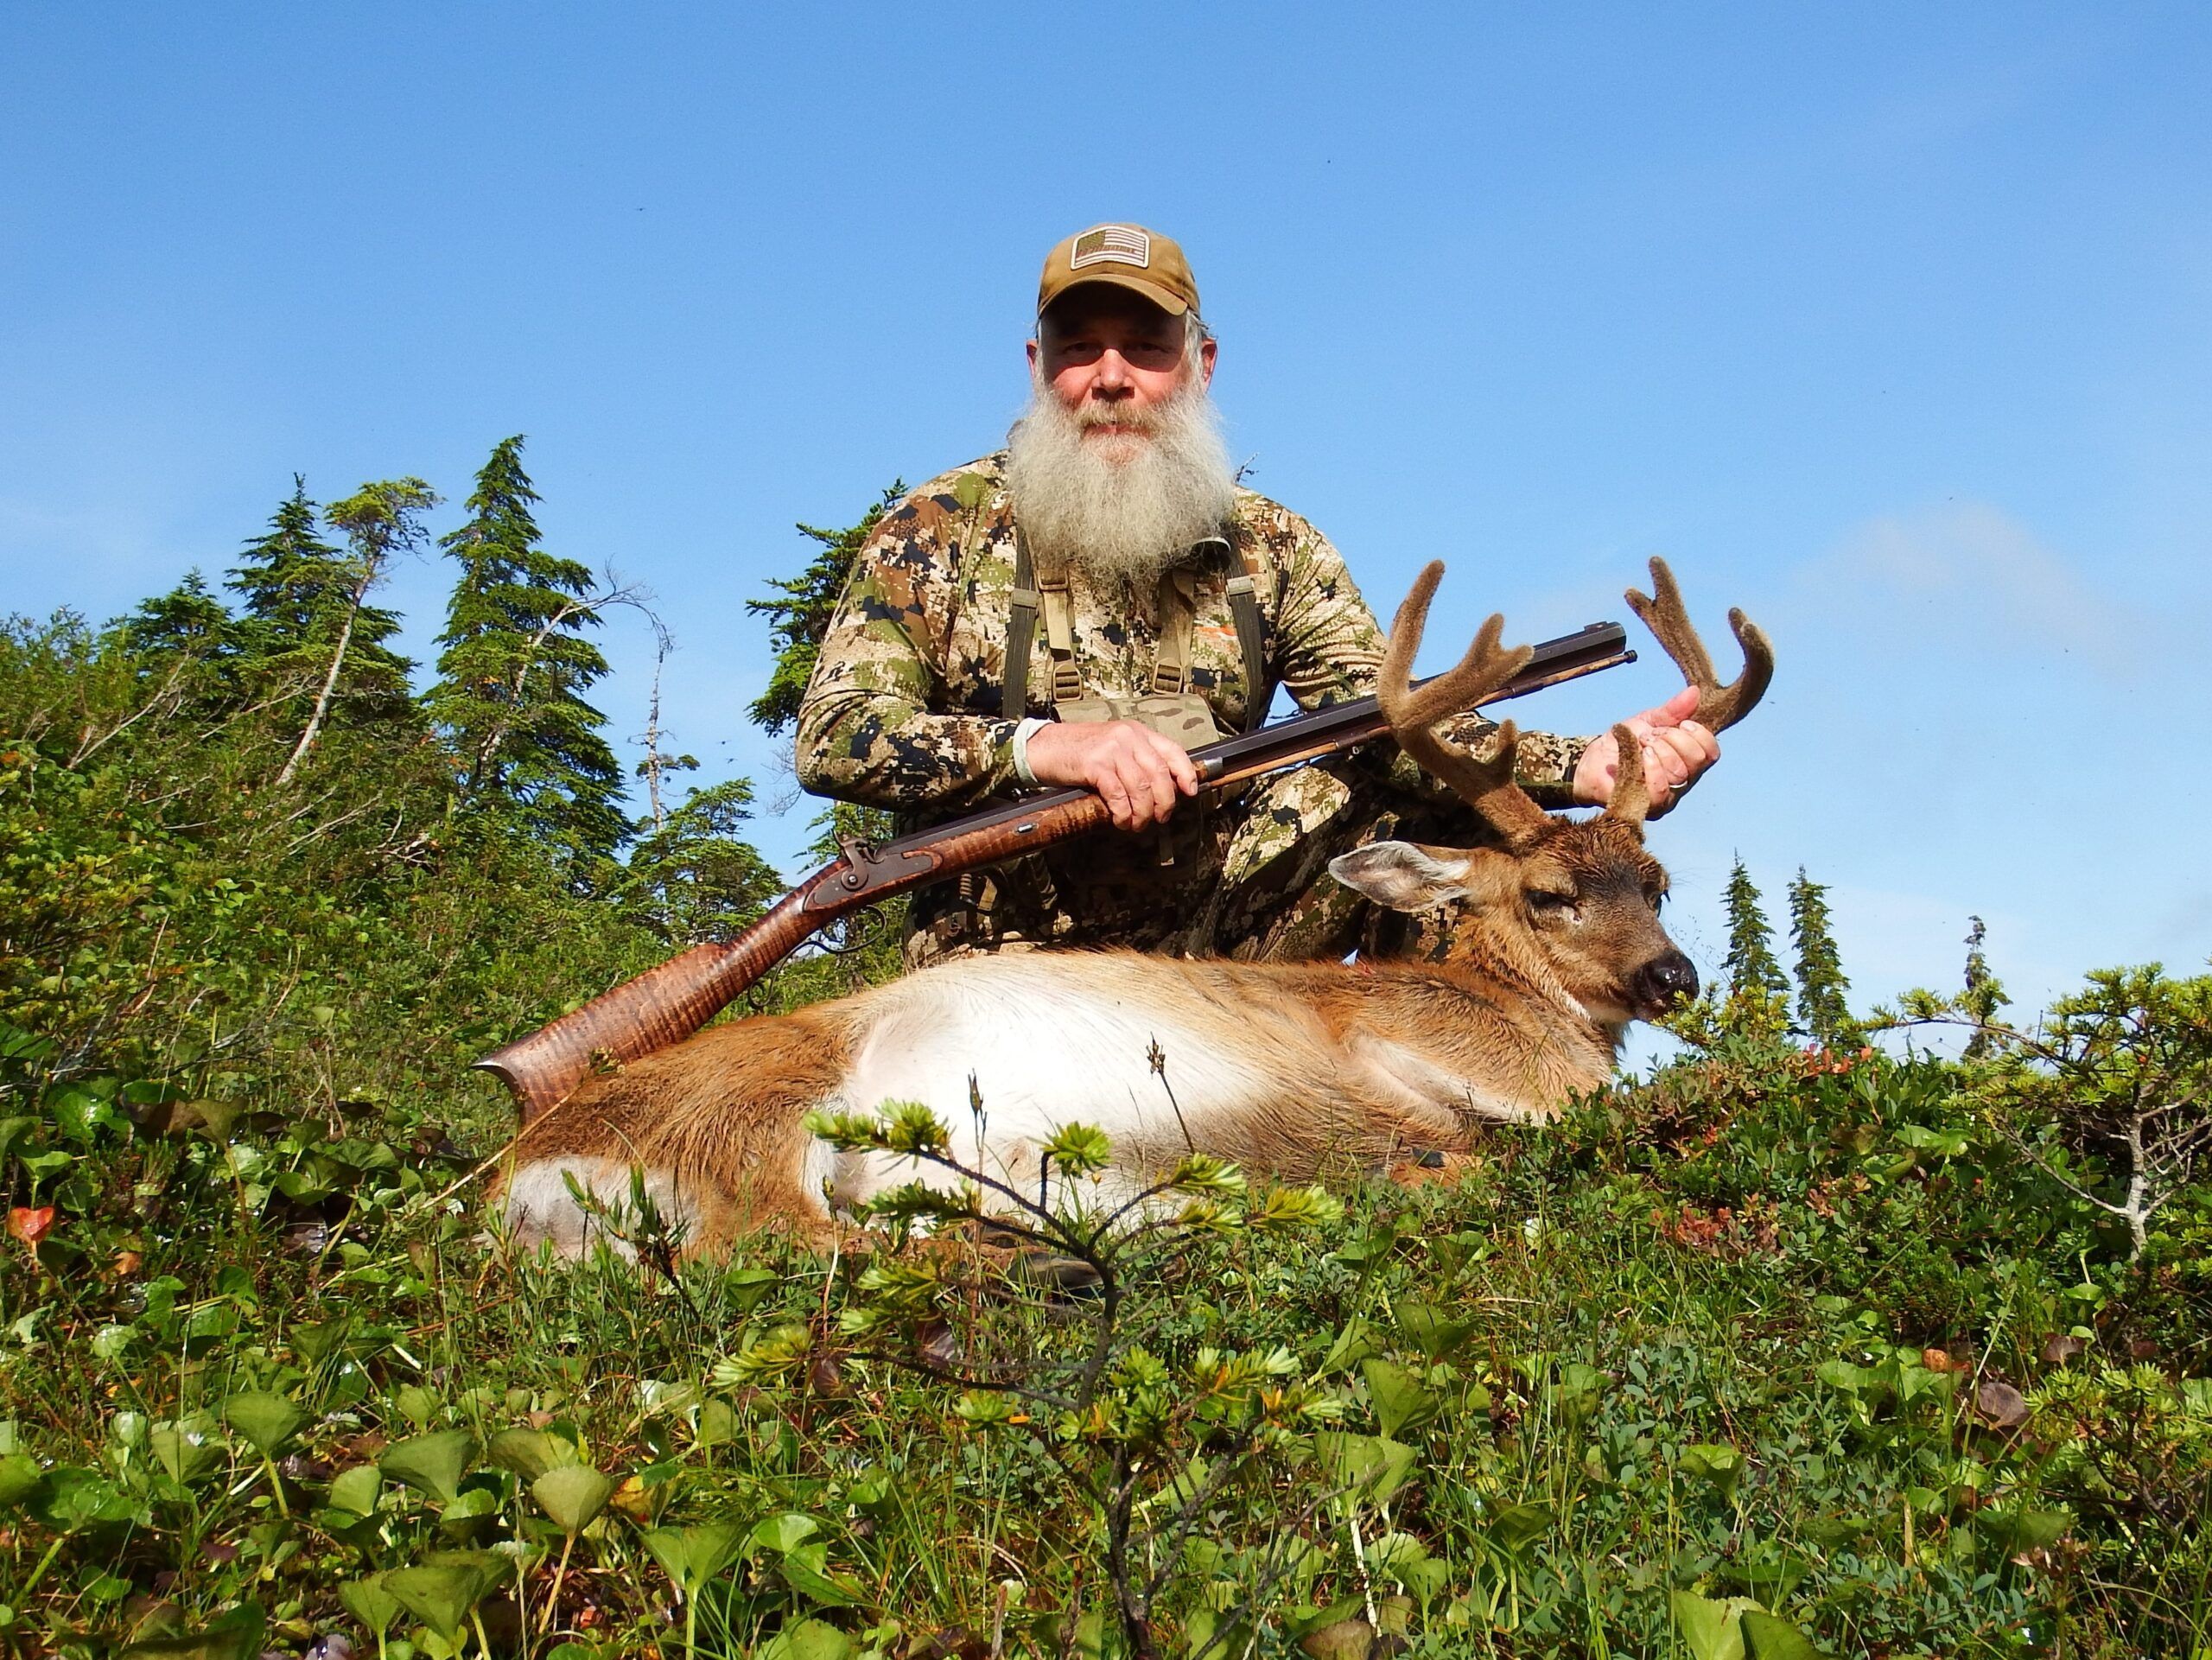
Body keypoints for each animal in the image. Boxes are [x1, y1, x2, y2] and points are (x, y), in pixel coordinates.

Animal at [494, 559, 1772, 1259]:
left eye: (1659, 883)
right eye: (1552, 896)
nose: (1673, 978)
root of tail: (514, 1175)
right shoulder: (1432, 1064)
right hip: (752, 1111)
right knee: (777, 1239)